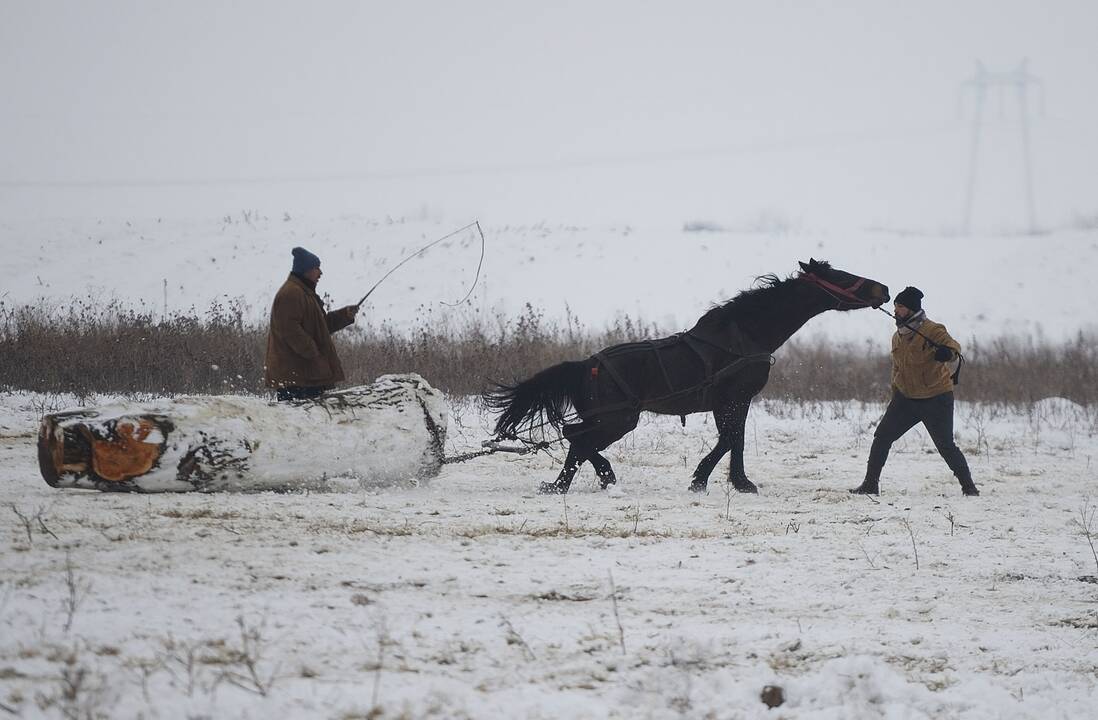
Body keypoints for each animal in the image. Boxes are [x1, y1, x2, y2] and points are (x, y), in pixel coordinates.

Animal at [489, 260, 891, 496]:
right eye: (842, 276)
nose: (885, 289)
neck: (744, 337)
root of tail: (588, 363)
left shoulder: (730, 403)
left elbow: (734, 441)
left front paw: (735, 482)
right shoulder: (733, 399)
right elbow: (729, 440)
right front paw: (705, 480)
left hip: (609, 418)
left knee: (577, 438)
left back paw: (599, 477)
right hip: (618, 418)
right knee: (578, 441)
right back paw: (564, 484)